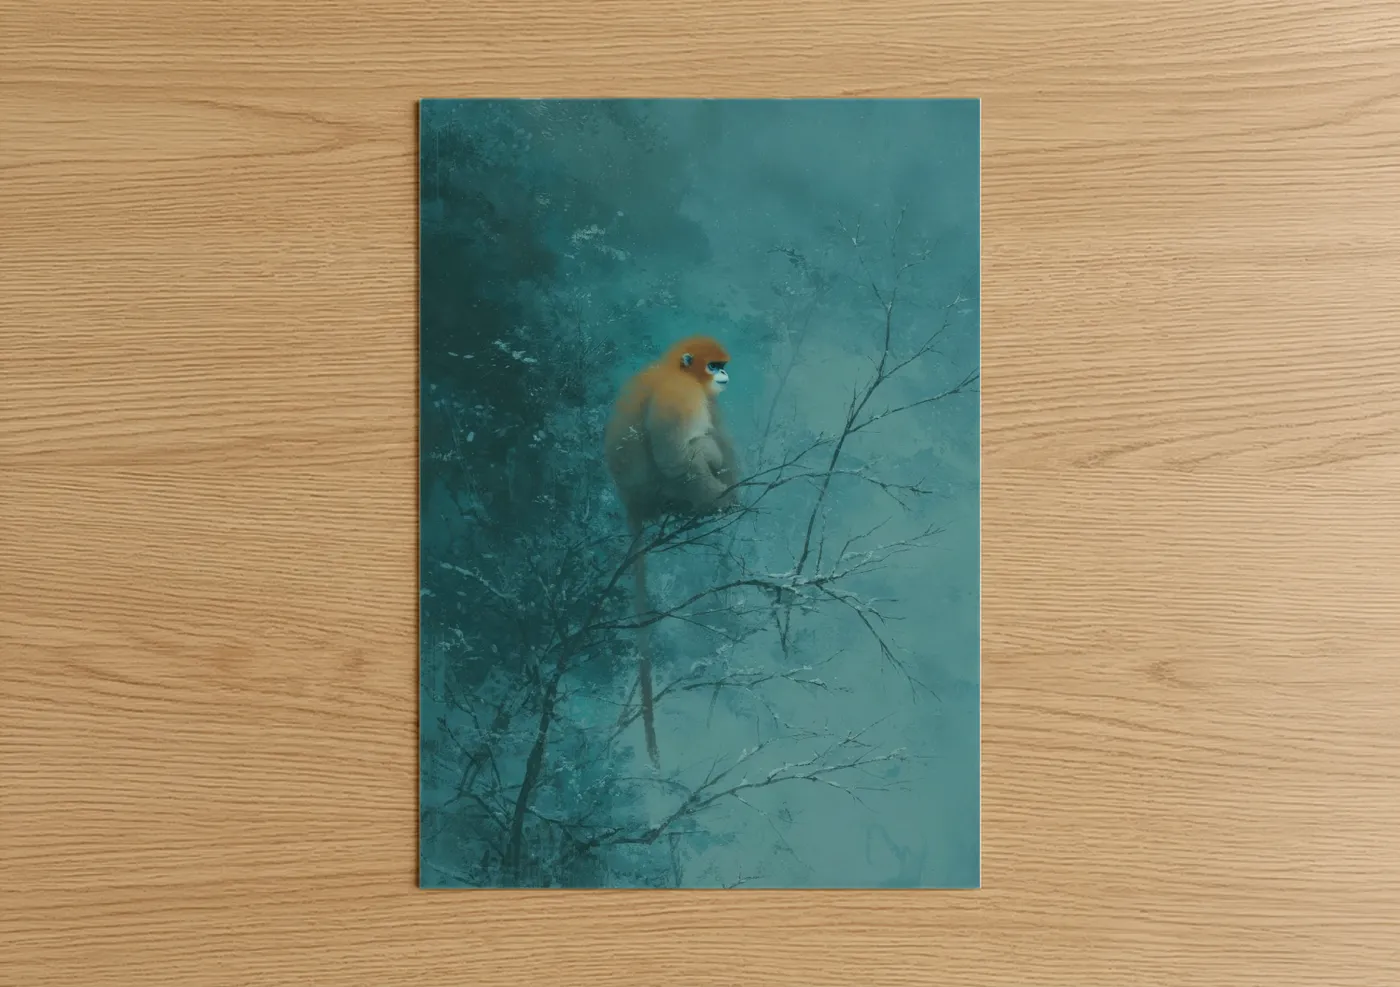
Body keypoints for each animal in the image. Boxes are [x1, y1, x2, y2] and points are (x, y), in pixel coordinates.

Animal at [603, 335, 741, 767]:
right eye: (714, 366)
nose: (724, 377)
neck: (670, 370)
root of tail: (631, 504)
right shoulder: (680, 395)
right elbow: (679, 458)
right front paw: (725, 500)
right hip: (665, 493)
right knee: (698, 451)